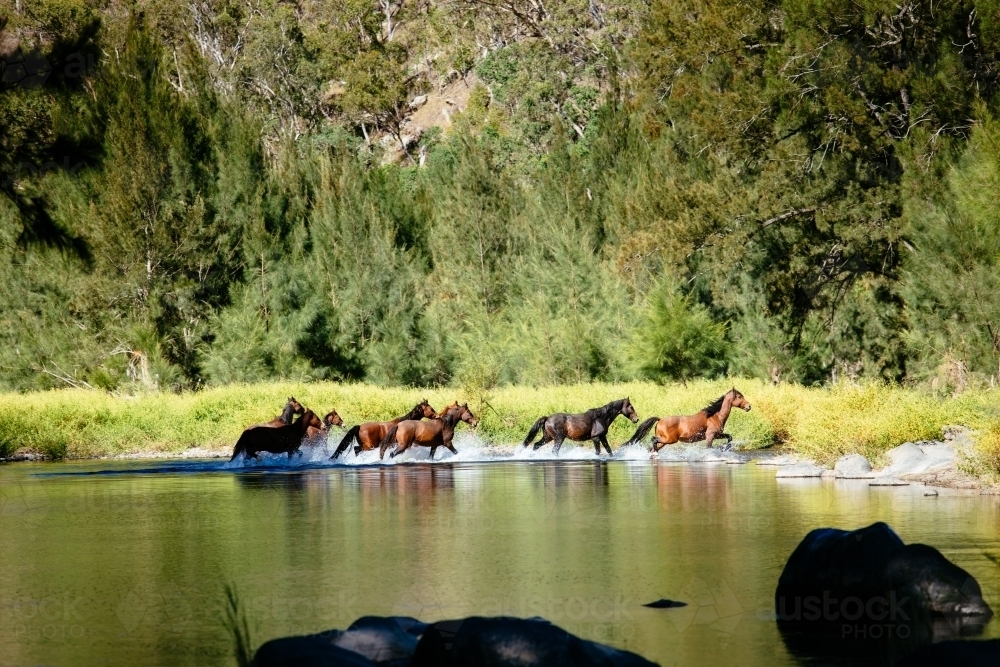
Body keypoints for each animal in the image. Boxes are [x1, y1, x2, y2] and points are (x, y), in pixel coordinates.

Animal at [624, 386, 752, 454]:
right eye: (739, 397)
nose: (749, 406)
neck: (714, 416)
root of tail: (660, 420)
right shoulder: (710, 436)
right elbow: (709, 448)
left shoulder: (717, 435)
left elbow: (729, 437)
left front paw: (726, 448)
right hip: (669, 440)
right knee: (653, 440)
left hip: (664, 441)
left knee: (652, 447)